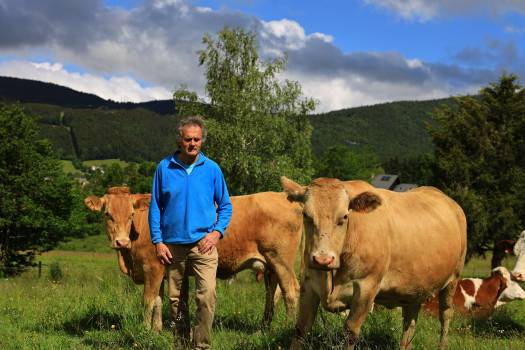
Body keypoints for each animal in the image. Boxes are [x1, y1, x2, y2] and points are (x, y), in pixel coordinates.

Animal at [83, 187, 300, 330]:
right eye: (107, 214)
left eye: (131, 213)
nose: (121, 242)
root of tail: (282, 196)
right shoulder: (161, 270)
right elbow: (159, 301)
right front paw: (157, 330)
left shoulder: (152, 268)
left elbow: (148, 300)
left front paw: (145, 329)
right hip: (270, 264)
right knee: (272, 293)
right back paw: (265, 326)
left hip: (281, 261)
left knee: (290, 291)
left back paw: (287, 327)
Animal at [280, 178, 464, 350]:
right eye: (306, 214)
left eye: (344, 216)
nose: (323, 259)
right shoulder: (309, 282)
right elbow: (301, 329)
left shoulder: (367, 287)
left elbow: (350, 333)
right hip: (415, 288)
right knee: (409, 322)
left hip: (453, 279)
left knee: (446, 314)